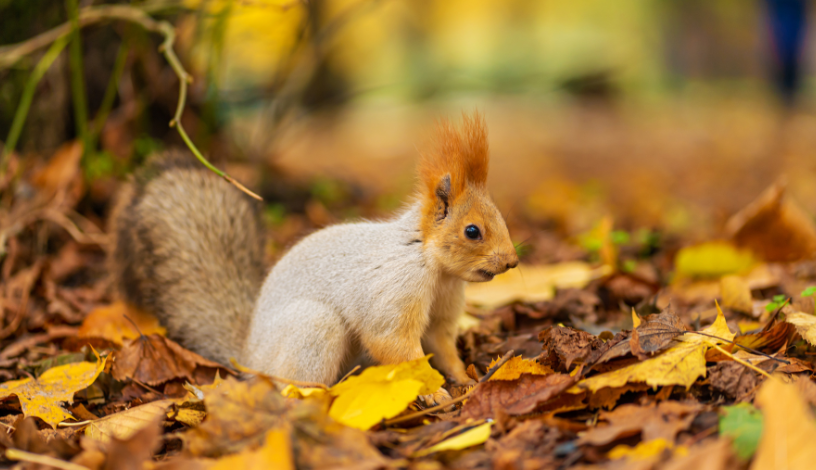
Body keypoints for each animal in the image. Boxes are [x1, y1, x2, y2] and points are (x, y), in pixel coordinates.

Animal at [108, 111, 516, 400]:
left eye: (499, 214)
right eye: (472, 231)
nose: (512, 262)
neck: (432, 265)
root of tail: (250, 357)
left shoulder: (443, 311)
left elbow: (442, 346)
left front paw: (465, 378)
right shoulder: (393, 290)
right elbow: (395, 345)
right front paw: (434, 392)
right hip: (313, 329)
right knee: (292, 386)